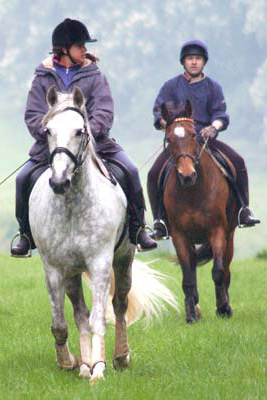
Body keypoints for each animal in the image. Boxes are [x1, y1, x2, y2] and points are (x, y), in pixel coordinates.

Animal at [28, 86, 178, 382]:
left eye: (80, 131)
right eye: (48, 131)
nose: (59, 182)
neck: (72, 205)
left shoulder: (100, 263)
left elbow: (99, 317)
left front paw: (99, 368)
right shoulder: (54, 268)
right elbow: (60, 323)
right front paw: (69, 362)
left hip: (123, 261)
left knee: (118, 305)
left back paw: (119, 357)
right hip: (72, 273)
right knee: (79, 314)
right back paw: (84, 364)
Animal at [161, 101, 239, 324]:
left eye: (193, 135)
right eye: (169, 139)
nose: (187, 175)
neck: (193, 191)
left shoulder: (217, 230)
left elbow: (218, 272)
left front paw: (223, 308)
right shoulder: (179, 235)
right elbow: (187, 277)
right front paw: (191, 315)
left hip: (230, 235)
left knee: (226, 270)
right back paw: (195, 306)